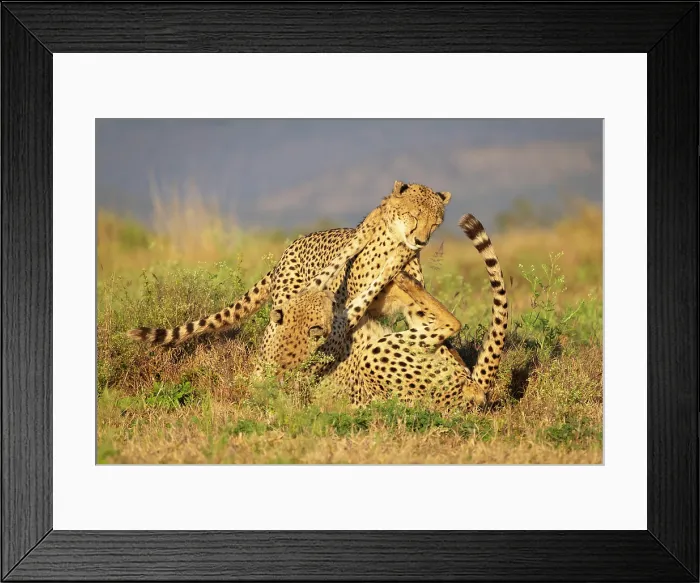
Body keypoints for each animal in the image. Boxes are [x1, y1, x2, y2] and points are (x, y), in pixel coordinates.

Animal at [127, 180, 451, 356]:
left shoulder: (414, 306)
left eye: (436, 222)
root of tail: (289, 247)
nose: (421, 240)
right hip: (288, 307)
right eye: (414, 215)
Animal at [263, 213, 509, 412]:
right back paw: (404, 276)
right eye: (322, 303)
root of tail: (472, 393)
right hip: (374, 356)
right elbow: (365, 287)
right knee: (451, 323)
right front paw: (390, 263)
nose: (328, 297)